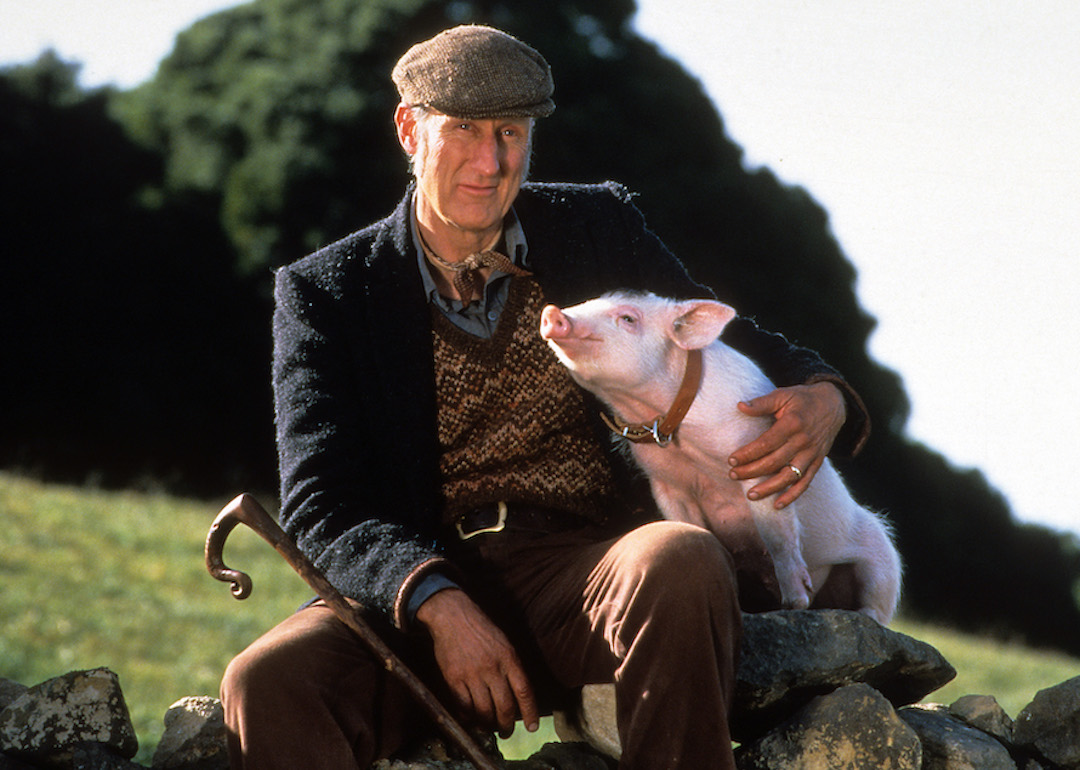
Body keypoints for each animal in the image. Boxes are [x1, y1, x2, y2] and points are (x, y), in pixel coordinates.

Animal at [540, 291, 902, 622]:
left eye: (628, 318)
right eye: (589, 301)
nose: (553, 312)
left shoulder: (758, 460)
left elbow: (777, 532)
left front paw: (795, 603)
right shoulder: (666, 484)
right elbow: (688, 525)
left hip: (883, 557)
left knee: (878, 600)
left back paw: (856, 615)